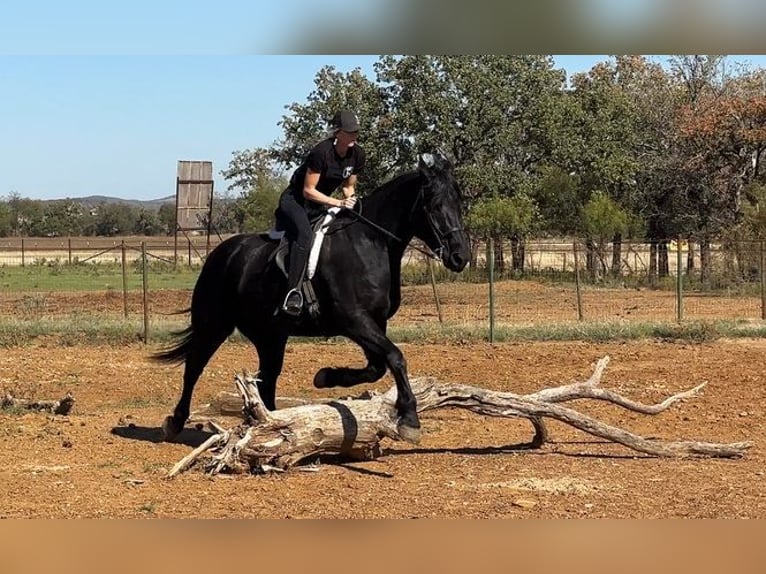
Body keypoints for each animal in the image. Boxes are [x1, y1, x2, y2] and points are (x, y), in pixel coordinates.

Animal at [153, 155, 472, 444]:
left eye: (458, 202)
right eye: (434, 205)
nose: (461, 256)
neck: (370, 242)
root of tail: (221, 253)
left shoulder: (374, 323)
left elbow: (377, 367)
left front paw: (327, 376)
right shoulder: (354, 320)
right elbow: (396, 358)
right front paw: (410, 419)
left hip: (270, 335)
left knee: (266, 378)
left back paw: (275, 426)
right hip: (214, 325)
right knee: (194, 367)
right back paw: (176, 422)